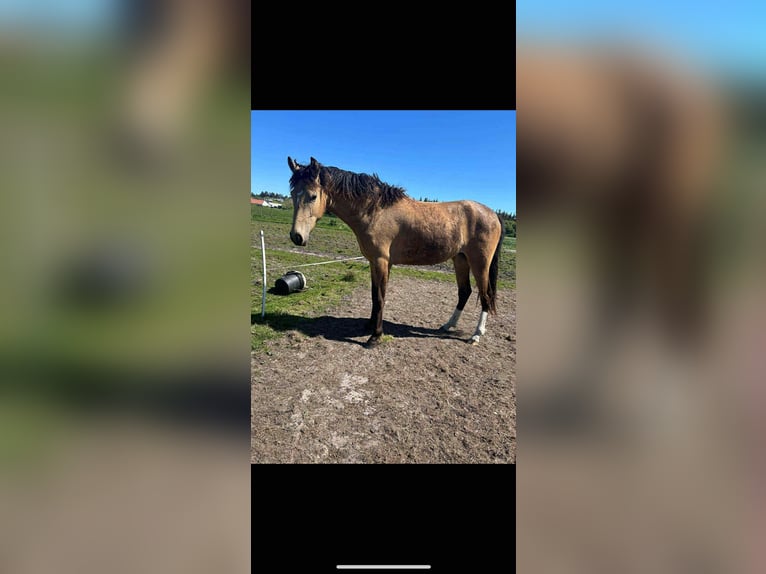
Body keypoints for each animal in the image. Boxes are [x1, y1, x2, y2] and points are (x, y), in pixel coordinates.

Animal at [287, 157, 505, 347]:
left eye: (313, 196)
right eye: (293, 193)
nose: (297, 237)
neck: (374, 211)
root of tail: (493, 214)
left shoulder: (382, 261)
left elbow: (380, 297)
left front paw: (375, 337)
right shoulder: (374, 262)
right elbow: (374, 295)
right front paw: (369, 326)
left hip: (480, 263)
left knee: (485, 295)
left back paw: (476, 335)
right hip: (460, 259)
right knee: (464, 292)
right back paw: (448, 325)